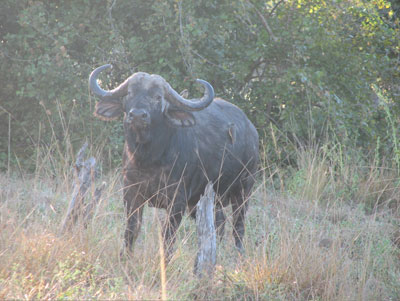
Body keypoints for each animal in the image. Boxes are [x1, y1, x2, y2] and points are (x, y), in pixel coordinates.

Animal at [88, 64, 260, 256]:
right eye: (130, 93)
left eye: (158, 97)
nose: (138, 115)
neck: (148, 159)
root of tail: (252, 130)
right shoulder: (131, 192)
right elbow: (131, 230)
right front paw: (125, 257)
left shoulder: (177, 202)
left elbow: (168, 237)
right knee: (219, 223)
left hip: (244, 189)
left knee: (238, 226)